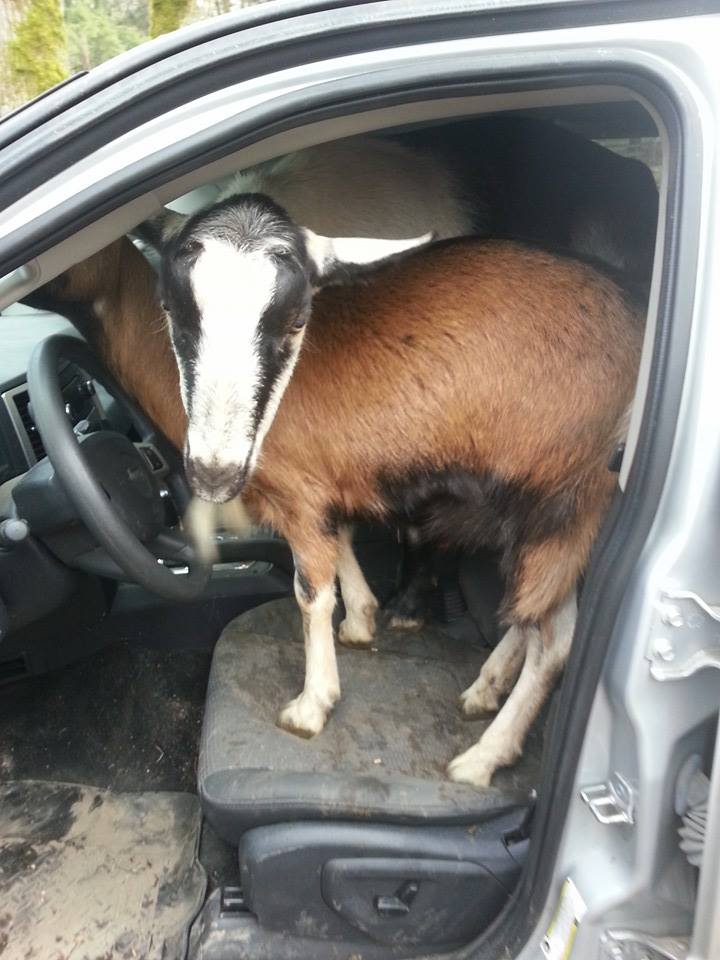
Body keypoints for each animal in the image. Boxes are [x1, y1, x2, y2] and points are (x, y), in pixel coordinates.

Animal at [159, 193, 643, 787]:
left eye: (296, 322)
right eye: (174, 313)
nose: (213, 474)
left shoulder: (301, 493)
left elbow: (310, 589)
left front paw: (311, 705)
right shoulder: (330, 484)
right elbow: (341, 543)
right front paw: (360, 624)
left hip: (559, 500)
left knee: (556, 639)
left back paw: (482, 758)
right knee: (533, 615)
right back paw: (485, 689)